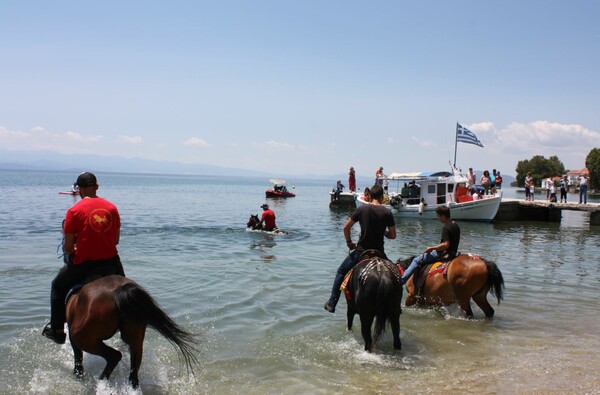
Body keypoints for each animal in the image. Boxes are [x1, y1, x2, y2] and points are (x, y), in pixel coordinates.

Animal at [65, 276, 198, 390]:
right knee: (133, 373)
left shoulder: (72, 335)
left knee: (114, 356)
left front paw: (78, 374)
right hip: (135, 339)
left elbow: (77, 356)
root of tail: (120, 290)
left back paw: (101, 381)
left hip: (83, 338)